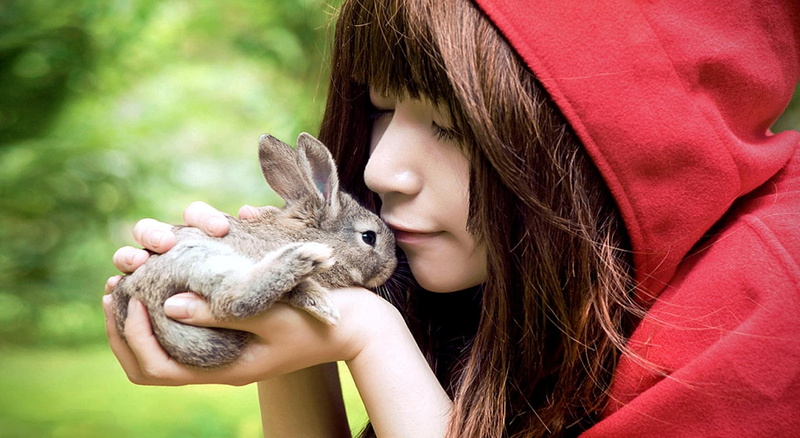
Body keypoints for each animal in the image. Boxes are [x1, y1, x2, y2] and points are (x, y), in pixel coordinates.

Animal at [112, 132, 397, 368]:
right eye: (369, 237)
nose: (391, 268)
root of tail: (137, 295)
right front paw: (321, 304)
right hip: (202, 257)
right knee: (230, 301)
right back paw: (304, 258)